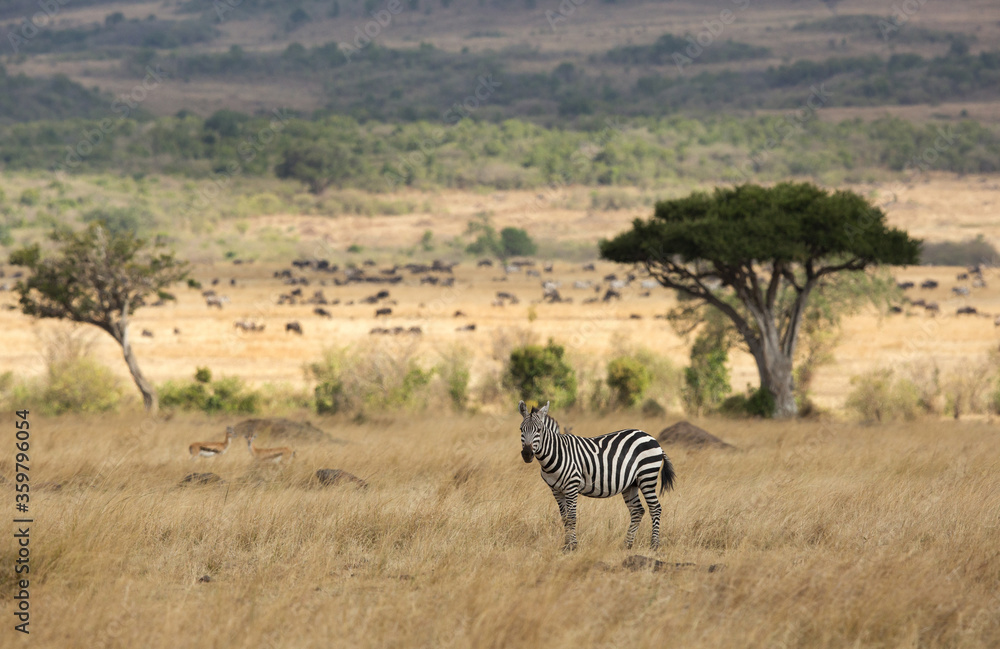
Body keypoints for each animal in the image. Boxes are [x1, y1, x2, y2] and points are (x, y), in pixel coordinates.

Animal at [518, 400, 676, 551]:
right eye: (521, 429)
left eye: (539, 430)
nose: (527, 454)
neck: (557, 453)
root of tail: (651, 437)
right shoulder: (556, 490)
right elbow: (564, 518)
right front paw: (566, 545)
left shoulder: (572, 486)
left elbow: (572, 517)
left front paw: (572, 546)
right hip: (631, 484)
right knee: (637, 511)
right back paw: (626, 545)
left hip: (647, 476)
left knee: (655, 508)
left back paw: (654, 545)